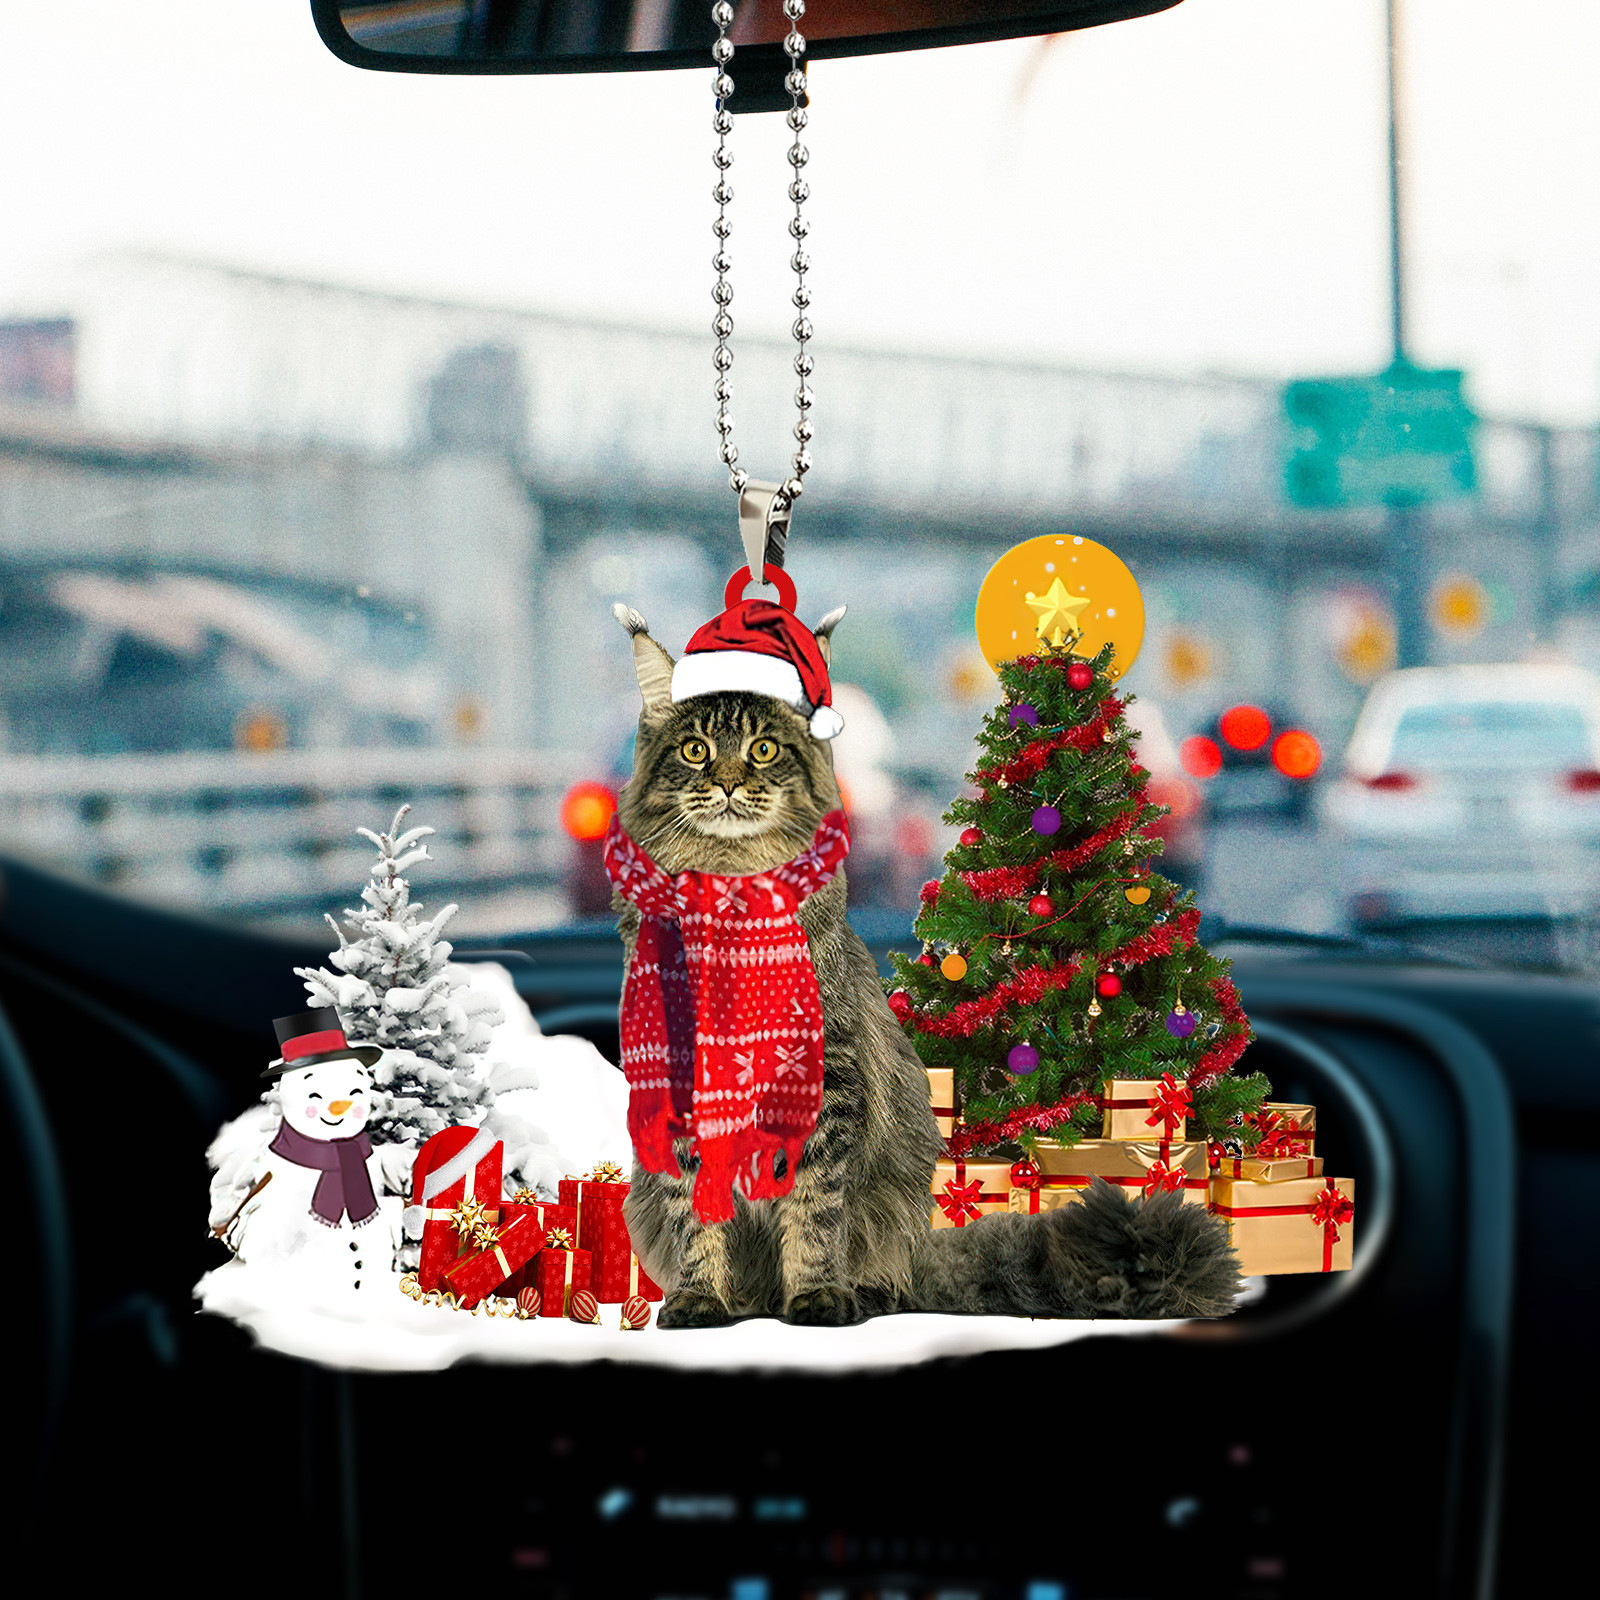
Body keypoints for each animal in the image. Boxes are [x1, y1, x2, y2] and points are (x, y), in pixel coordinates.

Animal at [609, 601, 1240, 1327]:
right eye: (695, 751)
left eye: (763, 749)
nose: (729, 783)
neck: (732, 893)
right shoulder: (680, 1079)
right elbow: (697, 1214)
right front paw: (699, 1299)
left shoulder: (825, 1078)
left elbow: (812, 1210)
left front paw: (816, 1297)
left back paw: (854, 1293)